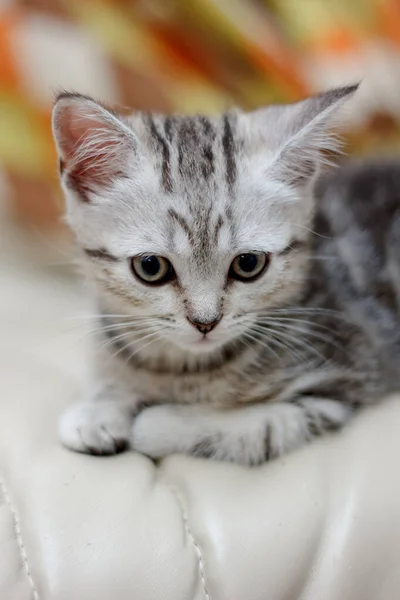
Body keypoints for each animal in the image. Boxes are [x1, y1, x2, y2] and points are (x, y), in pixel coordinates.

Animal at [53, 84, 388, 466]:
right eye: (151, 267)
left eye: (249, 264)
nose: (205, 322)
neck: (180, 370)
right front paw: (101, 407)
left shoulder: (341, 384)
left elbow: (256, 428)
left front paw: (158, 421)